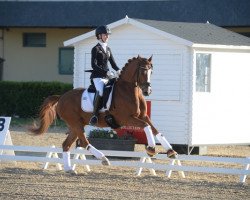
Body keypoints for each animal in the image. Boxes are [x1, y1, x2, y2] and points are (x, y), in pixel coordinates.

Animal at [29, 55, 178, 173]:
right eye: (142, 70)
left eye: (151, 71)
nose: (147, 91)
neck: (128, 90)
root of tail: (61, 97)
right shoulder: (126, 118)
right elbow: (147, 127)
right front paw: (151, 149)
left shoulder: (143, 116)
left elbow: (156, 130)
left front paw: (171, 151)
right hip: (76, 124)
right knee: (84, 142)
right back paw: (103, 158)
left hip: (74, 126)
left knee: (66, 145)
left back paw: (69, 169)